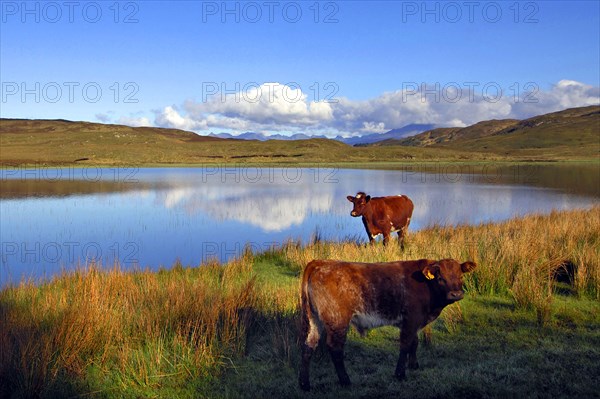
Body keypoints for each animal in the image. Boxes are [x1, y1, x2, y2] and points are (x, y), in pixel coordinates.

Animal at [298, 258, 476, 392]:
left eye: (461, 277)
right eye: (441, 278)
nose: (456, 294)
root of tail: (320, 262)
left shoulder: (413, 322)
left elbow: (415, 342)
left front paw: (414, 365)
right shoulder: (411, 319)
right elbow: (406, 344)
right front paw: (400, 374)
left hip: (314, 320)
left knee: (308, 345)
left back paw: (305, 385)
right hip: (338, 321)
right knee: (335, 348)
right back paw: (345, 381)